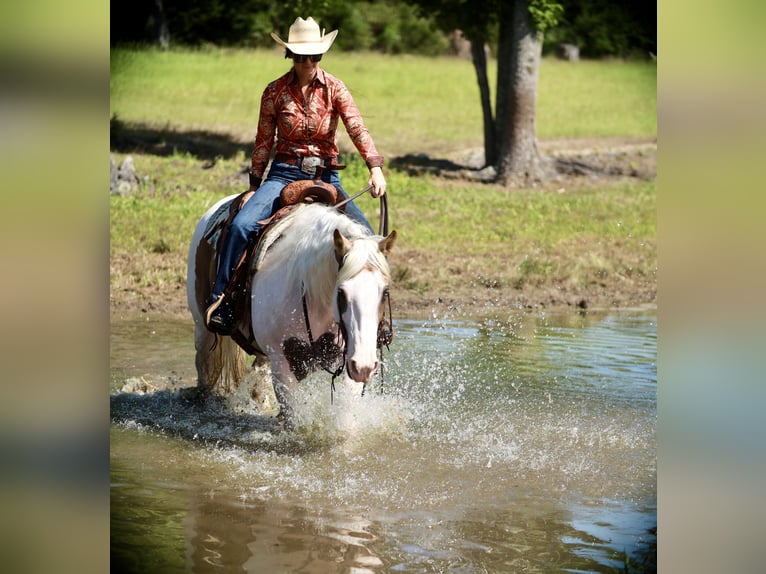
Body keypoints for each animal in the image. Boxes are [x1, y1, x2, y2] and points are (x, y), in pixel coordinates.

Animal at [186, 196, 396, 426]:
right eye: (341, 292)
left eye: (385, 292)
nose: (364, 367)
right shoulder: (282, 364)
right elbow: (293, 419)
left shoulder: (350, 358)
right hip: (202, 328)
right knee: (204, 367)